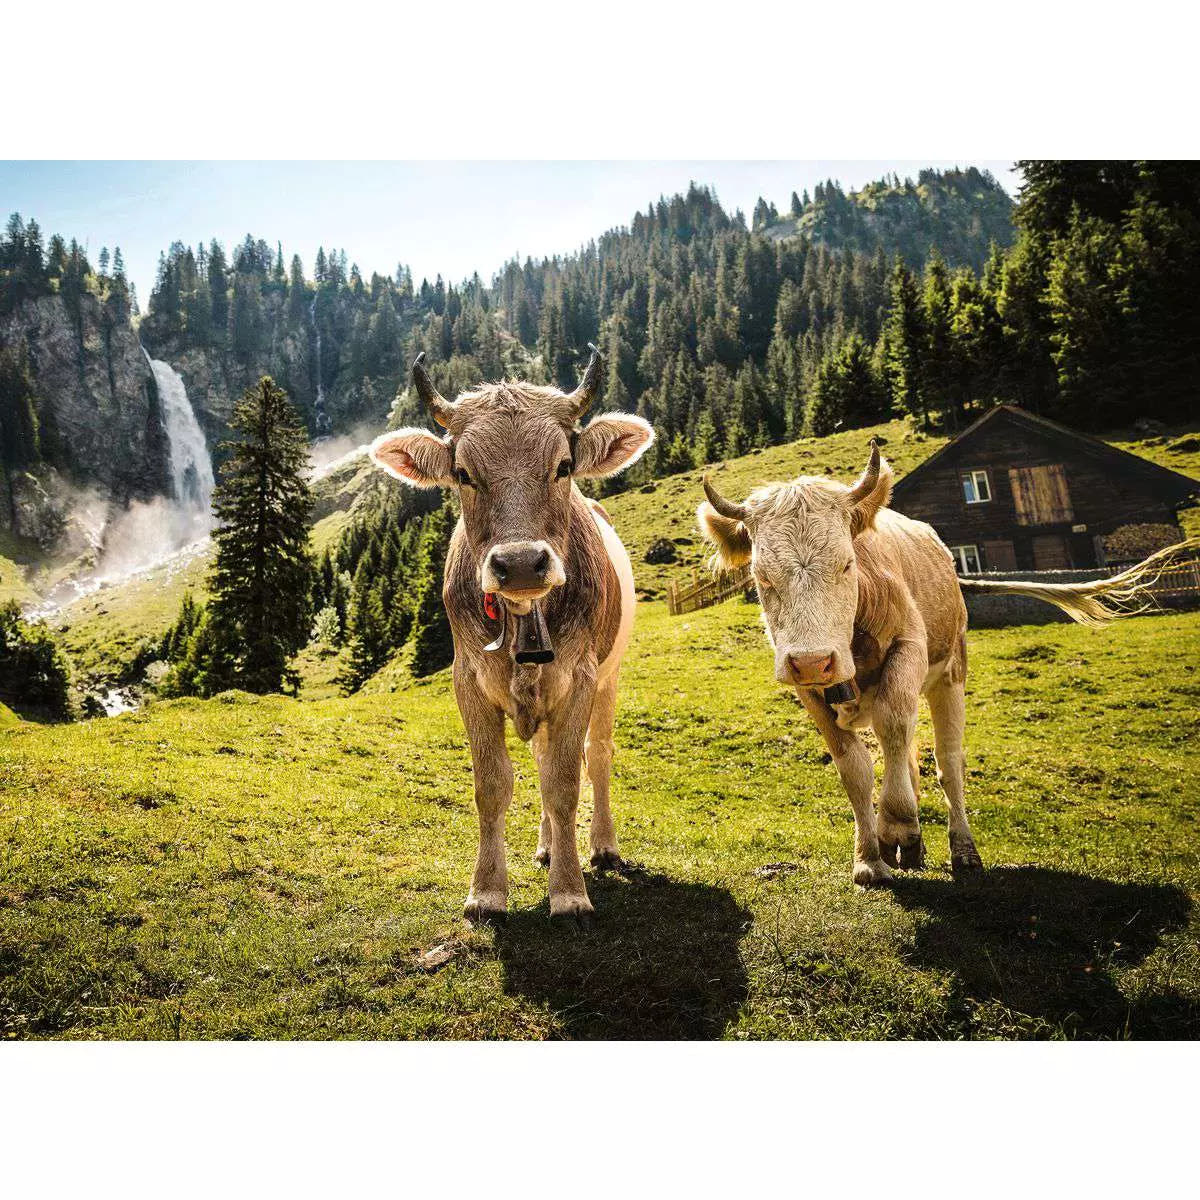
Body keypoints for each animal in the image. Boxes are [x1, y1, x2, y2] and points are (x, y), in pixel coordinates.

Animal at [369, 348, 653, 925]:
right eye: (463, 473)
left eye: (563, 466)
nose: (521, 562)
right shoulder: (468, 681)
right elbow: (492, 784)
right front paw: (486, 892)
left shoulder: (578, 678)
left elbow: (565, 782)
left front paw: (569, 893)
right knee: (543, 755)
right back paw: (547, 846)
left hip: (610, 675)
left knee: (598, 753)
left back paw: (601, 845)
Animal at [698, 442, 1195, 887]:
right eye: (762, 576)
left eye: (846, 564)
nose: (814, 660)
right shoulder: (808, 690)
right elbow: (854, 767)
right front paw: (870, 858)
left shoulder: (909, 649)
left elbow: (896, 729)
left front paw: (897, 824)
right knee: (908, 755)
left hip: (950, 675)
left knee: (946, 763)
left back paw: (962, 850)